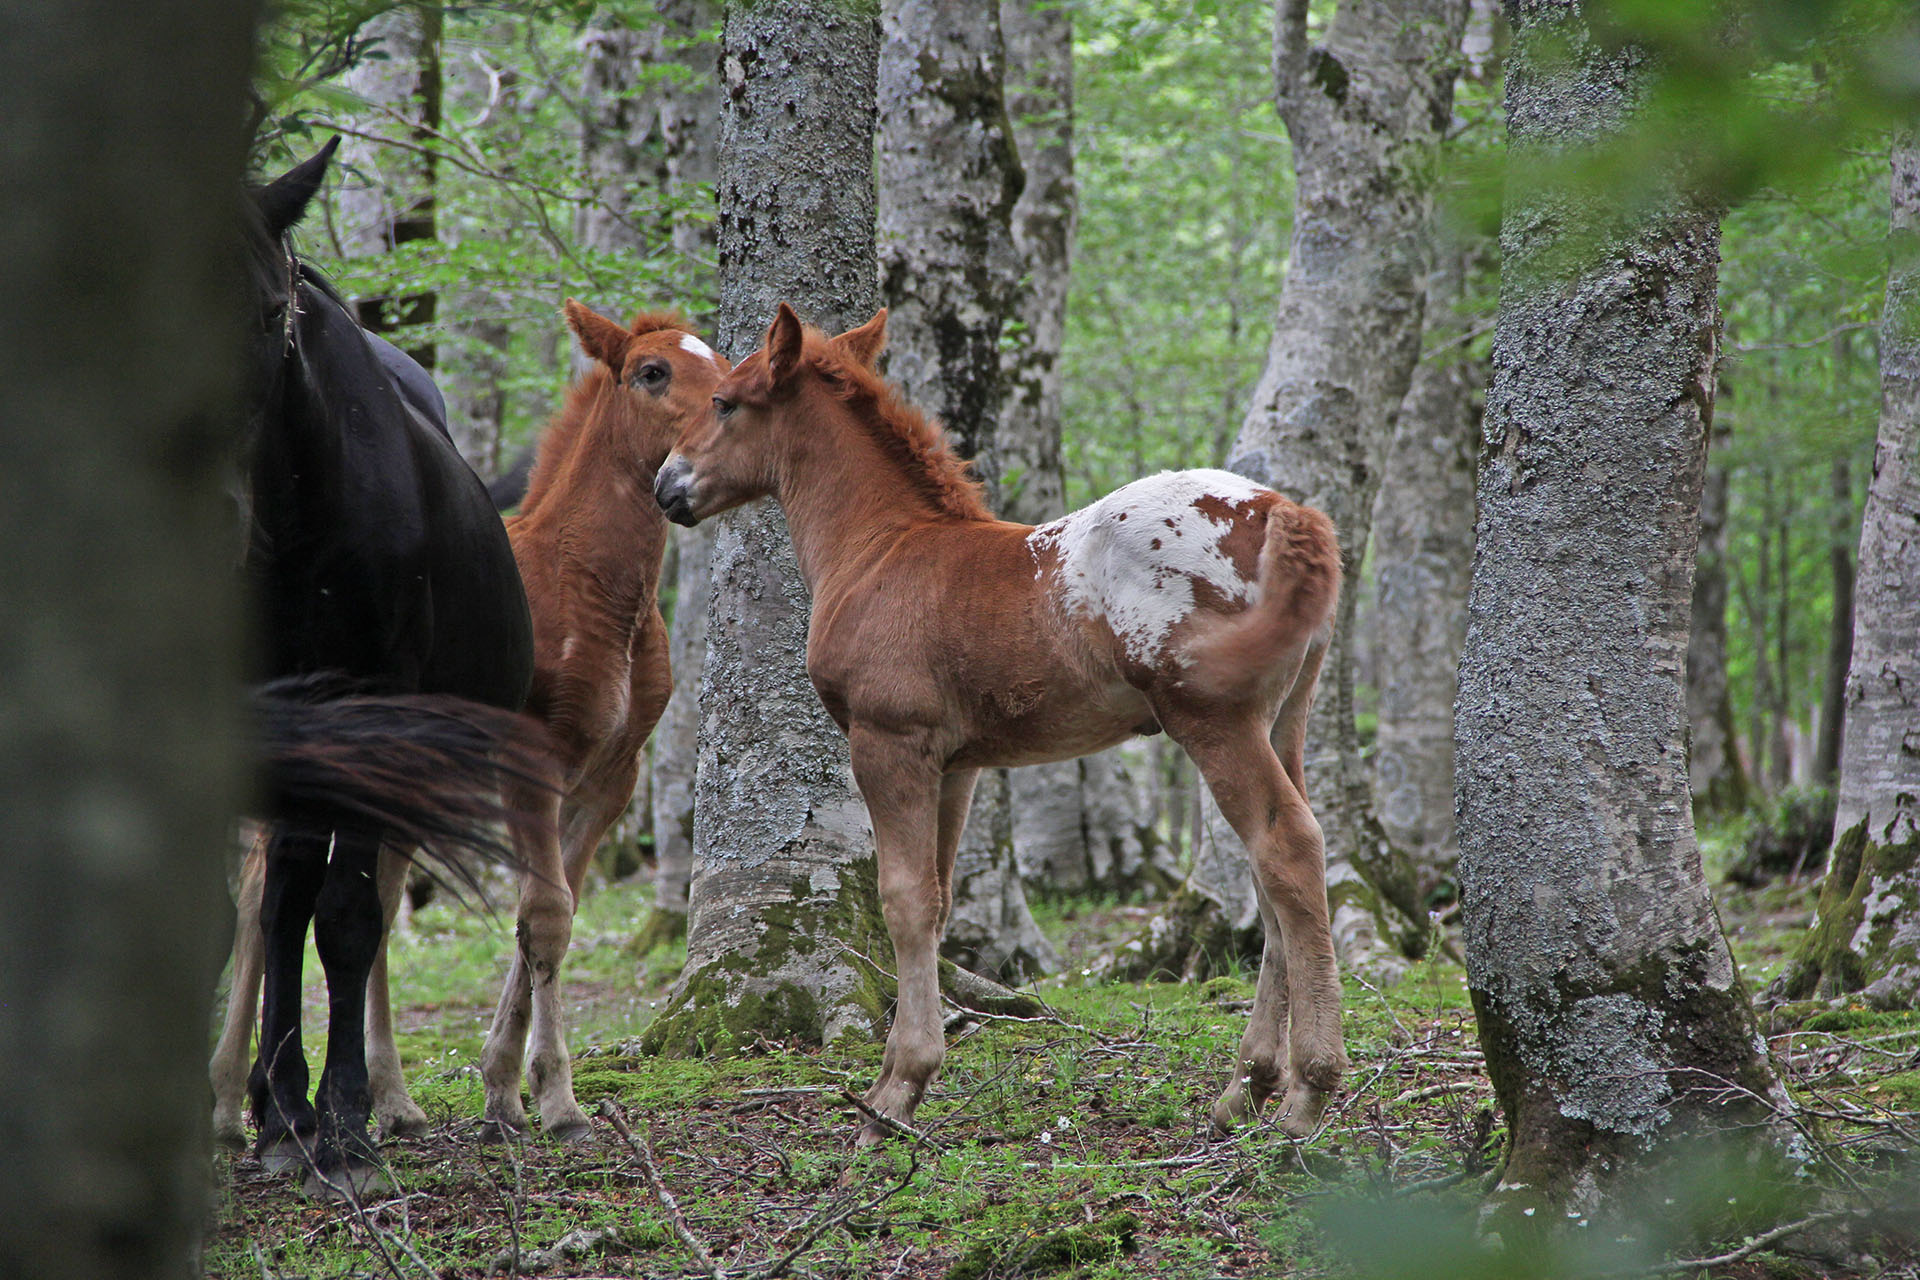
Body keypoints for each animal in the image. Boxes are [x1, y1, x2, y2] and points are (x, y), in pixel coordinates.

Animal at [206, 305, 721, 1143]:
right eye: (653, 372)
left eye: (725, 361)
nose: (732, 412)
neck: (599, 593)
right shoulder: (531, 765)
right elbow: (544, 916)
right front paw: (558, 1100)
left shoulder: (611, 779)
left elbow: (551, 914)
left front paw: (504, 1088)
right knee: (258, 897)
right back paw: (230, 1102)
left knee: (375, 905)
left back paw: (392, 1098)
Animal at [243, 144, 541, 1197]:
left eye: (267, 312)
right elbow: (290, 908)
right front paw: (288, 1113)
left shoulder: (379, 714)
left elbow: (345, 915)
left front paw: (342, 1124)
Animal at [660, 303, 1351, 1143]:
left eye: (724, 402)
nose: (666, 485)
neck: (880, 550)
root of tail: (1284, 507)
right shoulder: (957, 764)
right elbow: (939, 898)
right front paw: (899, 1081)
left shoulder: (887, 743)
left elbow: (904, 900)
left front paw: (894, 1094)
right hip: (1286, 716)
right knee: (1273, 867)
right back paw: (1246, 1086)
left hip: (1215, 720)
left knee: (1287, 847)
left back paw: (1306, 1091)